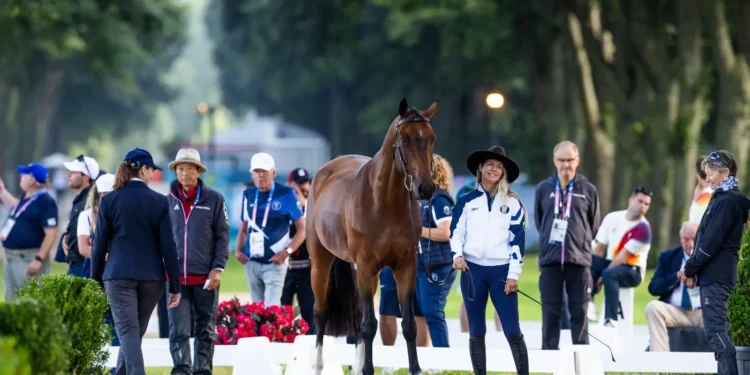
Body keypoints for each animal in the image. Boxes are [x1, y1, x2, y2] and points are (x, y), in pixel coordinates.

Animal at [306, 98, 438, 374]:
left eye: (432, 138)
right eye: (405, 139)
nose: (425, 188)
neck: (385, 200)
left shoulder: (405, 266)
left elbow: (409, 325)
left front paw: (415, 368)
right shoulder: (367, 266)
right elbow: (369, 325)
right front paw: (368, 369)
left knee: (357, 316)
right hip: (321, 263)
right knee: (321, 313)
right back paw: (318, 365)